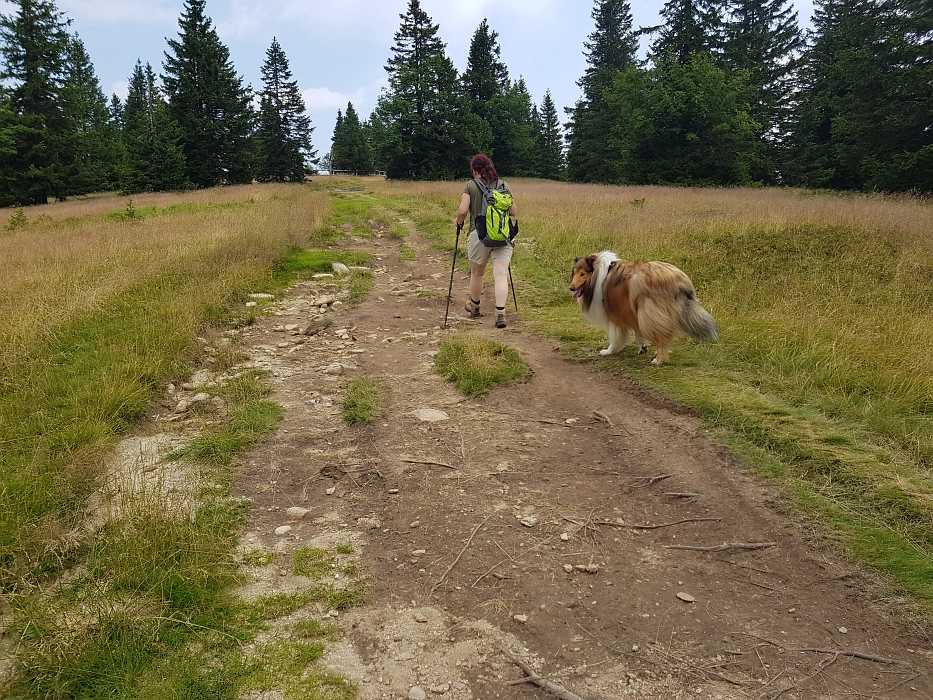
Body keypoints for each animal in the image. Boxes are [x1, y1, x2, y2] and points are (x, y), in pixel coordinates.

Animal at [572, 254, 716, 370]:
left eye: (582, 274)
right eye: (574, 273)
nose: (571, 288)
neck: (599, 275)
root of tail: (679, 282)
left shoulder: (613, 314)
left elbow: (614, 335)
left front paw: (609, 351)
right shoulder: (631, 311)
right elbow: (637, 331)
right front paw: (643, 347)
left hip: (648, 313)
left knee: (662, 337)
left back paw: (658, 360)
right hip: (648, 314)